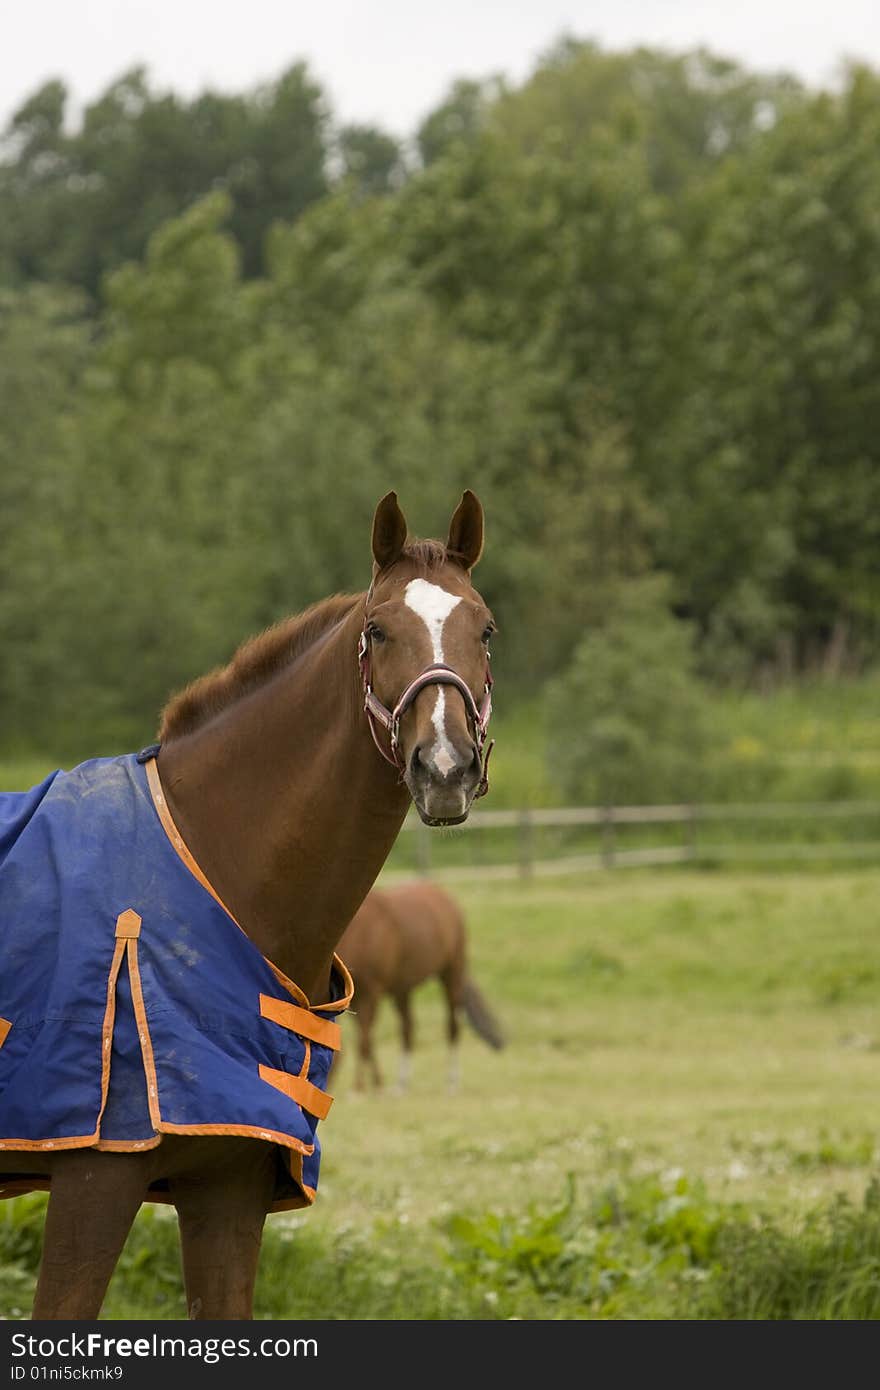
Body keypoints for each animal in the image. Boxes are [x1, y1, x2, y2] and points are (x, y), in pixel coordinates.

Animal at [336, 878, 500, 1095]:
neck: (359, 935)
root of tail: (445, 898)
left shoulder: (372, 992)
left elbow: (364, 1041)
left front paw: (360, 1087)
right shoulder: (357, 997)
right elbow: (367, 1038)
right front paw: (377, 1083)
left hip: (452, 973)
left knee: (452, 1026)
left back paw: (452, 1082)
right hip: (403, 989)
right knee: (408, 1028)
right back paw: (401, 1083)